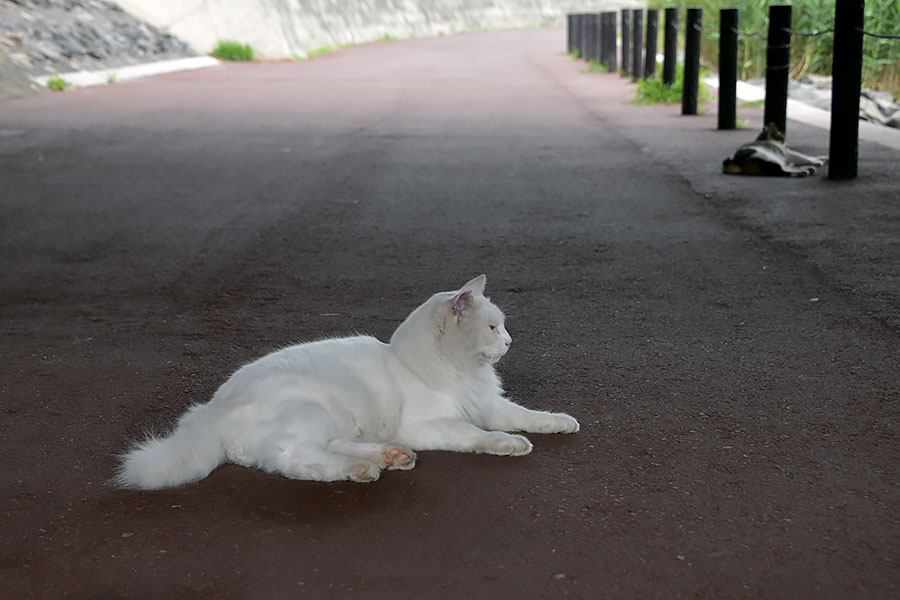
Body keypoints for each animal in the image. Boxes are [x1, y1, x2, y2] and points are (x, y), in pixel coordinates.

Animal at [116, 274, 580, 490]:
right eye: (493, 328)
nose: (510, 341)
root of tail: (208, 411)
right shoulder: (434, 424)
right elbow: (478, 435)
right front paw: (509, 445)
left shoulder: (490, 404)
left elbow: (527, 415)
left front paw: (560, 422)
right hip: (310, 412)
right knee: (296, 460)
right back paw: (366, 469)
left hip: (336, 421)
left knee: (329, 447)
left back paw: (390, 456)